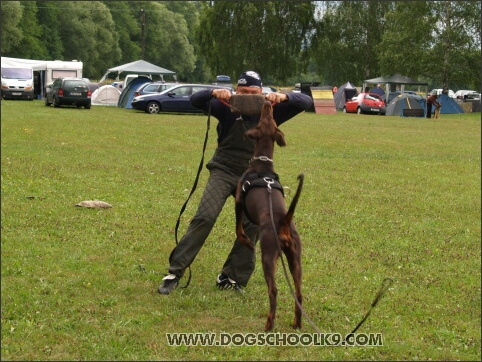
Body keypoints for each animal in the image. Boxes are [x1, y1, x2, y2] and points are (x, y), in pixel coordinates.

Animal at [234, 100, 304, 332]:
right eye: (270, 118)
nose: (267, 102)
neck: (262, 163)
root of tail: (283, 222)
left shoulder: (238, 200)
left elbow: (238, 229)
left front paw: (246, 242)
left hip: (268, 256)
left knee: (273, 290)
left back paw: (268, 324)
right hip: (295, 257)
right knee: (299, 293)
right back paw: (296, 323)